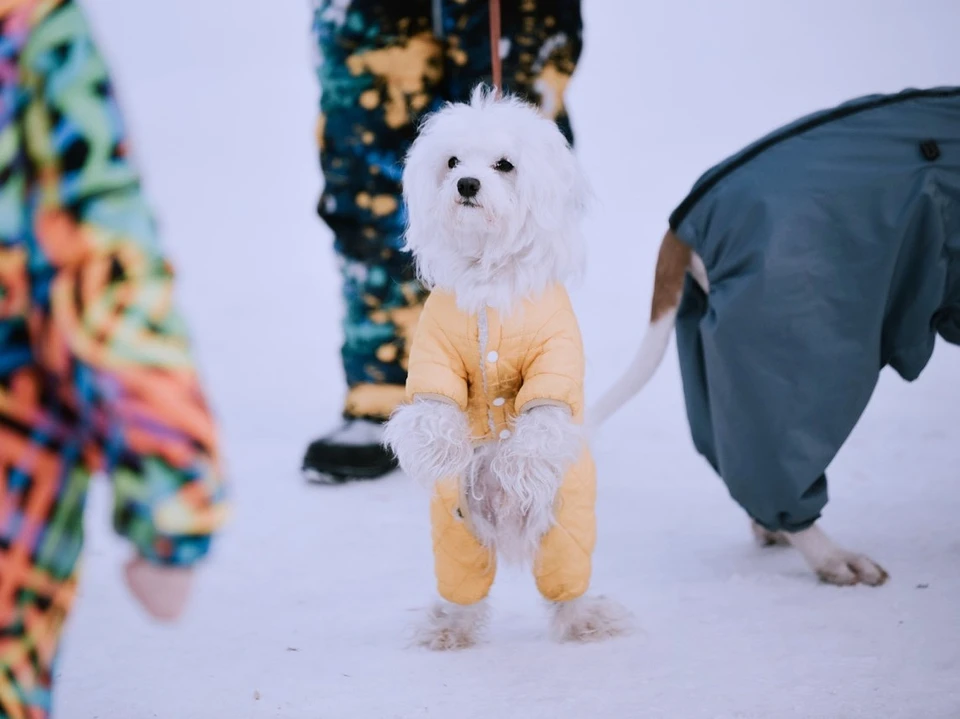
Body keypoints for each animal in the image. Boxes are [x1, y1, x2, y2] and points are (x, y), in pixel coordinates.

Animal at [378, 87, 632, 648]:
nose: (467, 184)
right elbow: (433, 405)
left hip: (566, 526)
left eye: (504, 165)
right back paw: (450, 628)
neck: (488, 272)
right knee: (464, 586)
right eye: (453, 162)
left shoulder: (555, 356)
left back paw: (584, 621)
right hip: (455, 530)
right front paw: (438, 449)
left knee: (565, 581)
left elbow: (541, 416)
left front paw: (520, 463)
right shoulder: (434, 351)